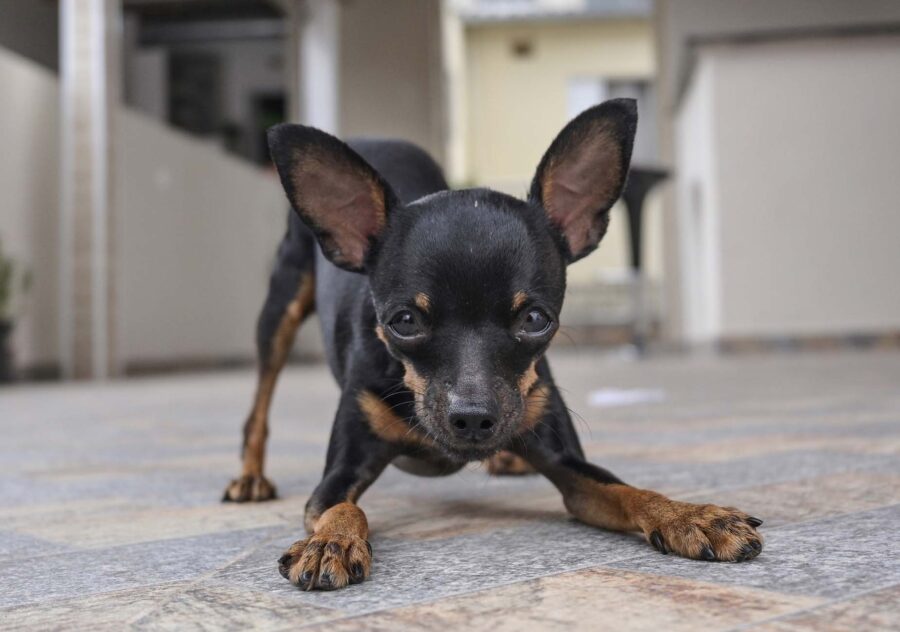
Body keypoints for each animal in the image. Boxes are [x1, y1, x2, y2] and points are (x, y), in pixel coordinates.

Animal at [221, 97, 764, 588]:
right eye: (404, 322)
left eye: (535, 319)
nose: (473, 418)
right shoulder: (337, 474)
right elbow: (343, 508)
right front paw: (329, 543)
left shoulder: (571, 469)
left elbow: (630, 491)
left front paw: (688, 515)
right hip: (279, 312)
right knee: (258, 406)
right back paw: (250, 478)